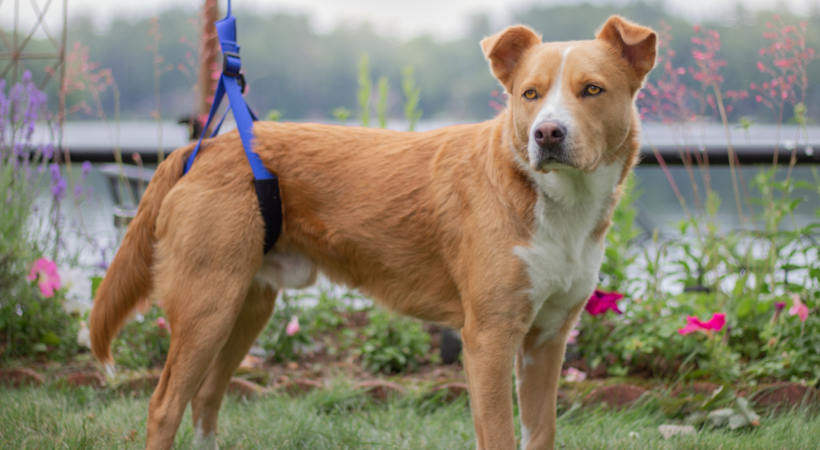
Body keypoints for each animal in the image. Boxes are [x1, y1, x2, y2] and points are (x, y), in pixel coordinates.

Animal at [89, 15, 652, 448]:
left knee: (206, 397)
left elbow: (541, 433)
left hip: (245, 304)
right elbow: (498, 435)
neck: (552, 200)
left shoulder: (547, 338)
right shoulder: (489, 337)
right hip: (207, 303)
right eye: (529, 95)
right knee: (165, 406)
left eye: (592, 90)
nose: (547, 134)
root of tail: (204, 146)